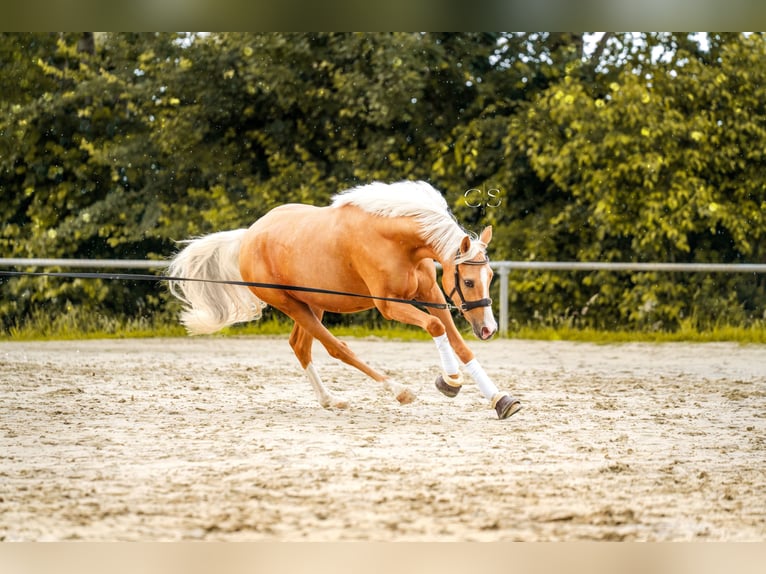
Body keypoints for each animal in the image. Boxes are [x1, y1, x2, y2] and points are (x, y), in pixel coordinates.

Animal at [166, 180, 521, 419]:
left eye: (491, 277)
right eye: (468, 281)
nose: (488, 329)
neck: (397, 241)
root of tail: (249, 236)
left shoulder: (431, 295)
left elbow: (460, 345)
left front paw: (501, 400)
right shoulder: (390, 306)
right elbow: (435, 327)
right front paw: (450, 381)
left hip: (314, 303)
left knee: (300, 346)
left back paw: (330, 400)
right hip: (291, 305)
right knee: (335, 348)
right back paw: (398, 391)